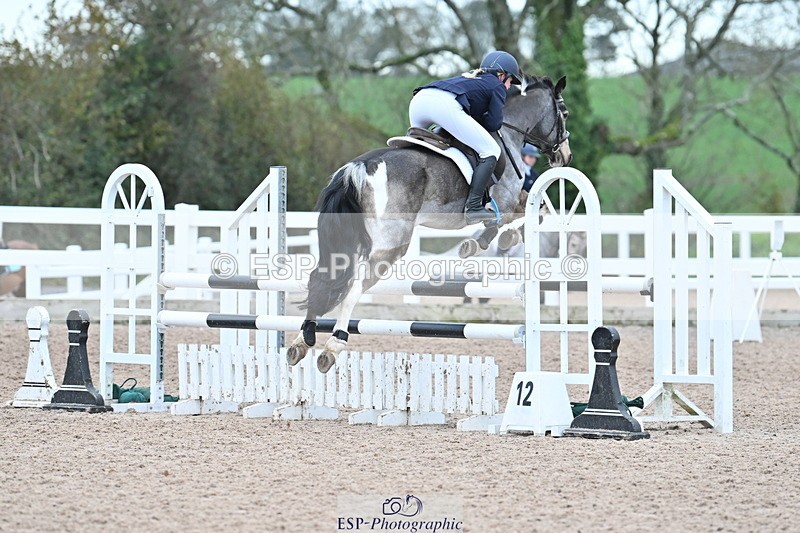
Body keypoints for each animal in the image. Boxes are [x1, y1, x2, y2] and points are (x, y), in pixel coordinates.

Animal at [288, 74, 572, 372]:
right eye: (564, 113)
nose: (565, 156)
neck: (509, 131)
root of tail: (358, 168)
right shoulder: (505, 200)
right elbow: (523, 213)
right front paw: (490, 241)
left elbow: (534, 209)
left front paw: (484, 242)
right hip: (391, 247)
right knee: (353, 289)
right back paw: (333, 346)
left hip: (344, 242)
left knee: (322, 279)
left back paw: (301, 342)